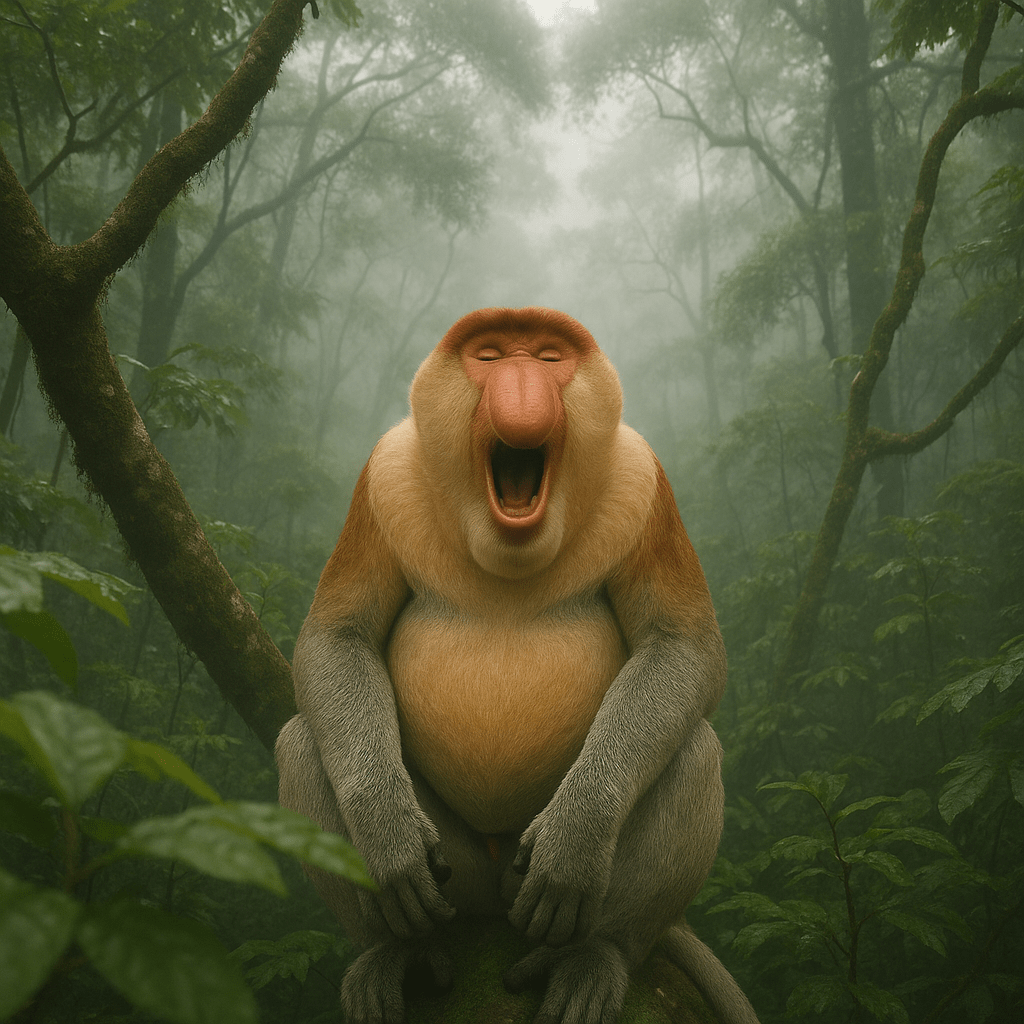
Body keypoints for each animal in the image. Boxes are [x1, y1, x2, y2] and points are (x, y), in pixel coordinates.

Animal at [276, 307, 759, 1024]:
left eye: (551, 357)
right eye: (492, 355)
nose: (524, 392)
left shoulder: (642, 482)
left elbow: (682, 646)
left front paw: (572, 844)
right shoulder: (384, 477)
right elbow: (338, 636)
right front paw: (388, 841)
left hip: (520, 883)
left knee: (695, 749)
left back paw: (594, 954)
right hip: (459, 875)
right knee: (303, 741)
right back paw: (395, 950)